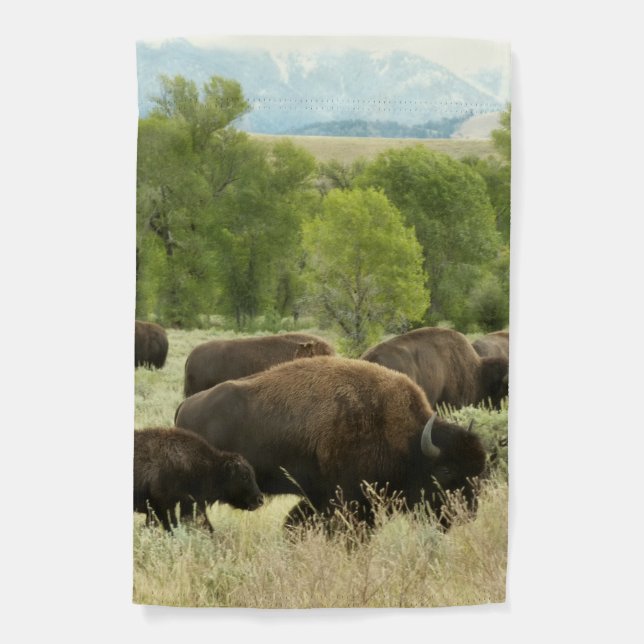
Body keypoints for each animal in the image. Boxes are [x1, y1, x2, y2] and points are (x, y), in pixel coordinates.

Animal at [175, 356, 486, 529]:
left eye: (479, 472)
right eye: (445, 471)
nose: (468, 514)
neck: (407, 440)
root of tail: (185, 406)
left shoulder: (321, 497)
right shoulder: (349, 499)